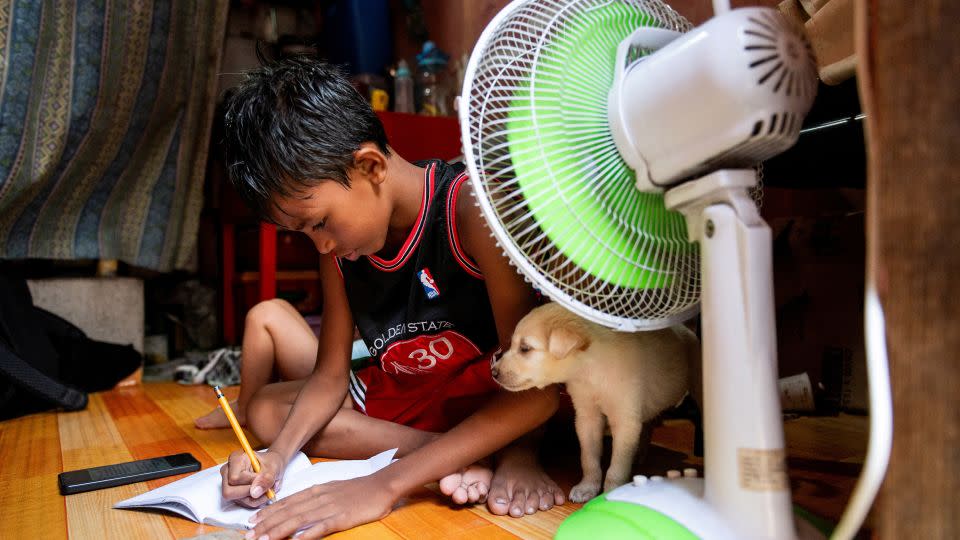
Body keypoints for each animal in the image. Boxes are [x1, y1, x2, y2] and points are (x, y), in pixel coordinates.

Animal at [496, 304, 696, 502]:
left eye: (525, 348)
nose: (494, 371)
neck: (591, 373)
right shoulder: (587, 418)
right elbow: (588, 458)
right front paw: (587, 488)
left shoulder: (625, 422)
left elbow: (617, 467)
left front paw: (611, 493)